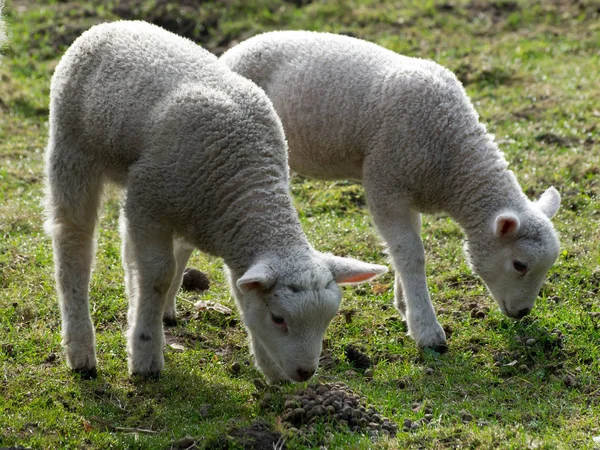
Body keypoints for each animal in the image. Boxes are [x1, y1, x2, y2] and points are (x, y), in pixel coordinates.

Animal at [44, 22, 386, 384]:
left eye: (327, 320)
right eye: (279, 319)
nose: (305, 373)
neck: (243, 178)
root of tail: (113, 25)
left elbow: (233, 286)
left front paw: (267, 365)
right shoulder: (148, 204)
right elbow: (157, 276)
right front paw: (145, 355)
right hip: (72, 149)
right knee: (73, 241)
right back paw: (81, 349)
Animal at [220, 30, 564, 352]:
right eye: (520, 265)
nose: (522, 312)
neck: (453, 156)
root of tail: (238, 48)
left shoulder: (408, 192)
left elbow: (405, 247)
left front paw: (404, 304)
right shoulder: (385, 184)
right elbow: (411, 253)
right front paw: (426, 329)